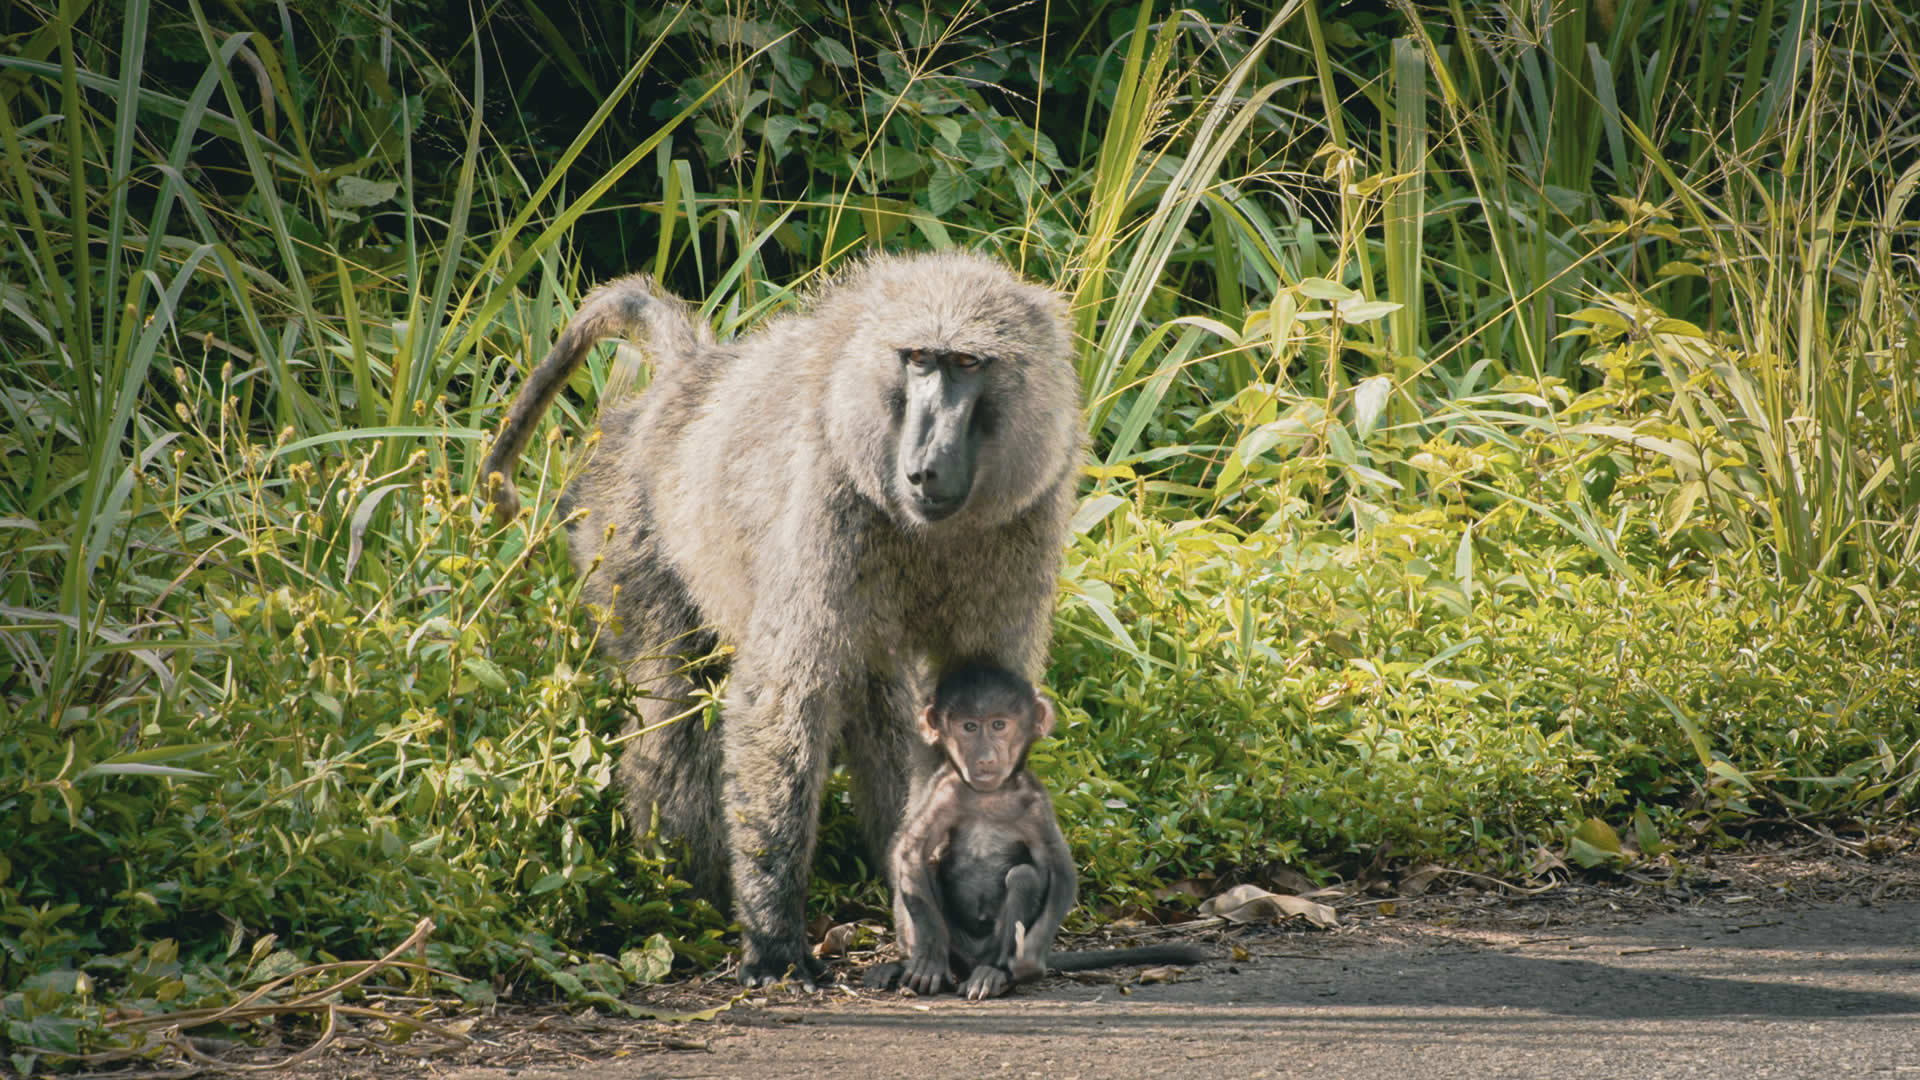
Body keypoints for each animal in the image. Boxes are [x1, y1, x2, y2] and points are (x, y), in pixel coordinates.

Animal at [477, 251, 1084, 989]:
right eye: (917, 359)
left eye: (967, 363)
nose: (924, 468)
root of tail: (686, 380)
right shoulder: (827, 502)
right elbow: (781, 695)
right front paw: (773, 942)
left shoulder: (1024, 517)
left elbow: (977, 698)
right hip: (624, 527)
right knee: (672, 707)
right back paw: (683, 895)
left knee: (880, 697)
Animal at [863, 664, 1208, 1000]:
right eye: (969, 727)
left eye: (999, 725)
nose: (985, 758)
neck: (989, 795)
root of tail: (974, 960)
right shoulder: (945, 793)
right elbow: (913, 853)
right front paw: (929, 961)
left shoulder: (1035, 804)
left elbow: (1059, 871)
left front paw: (1029, 961)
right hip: (958, 947)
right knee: (930, 867)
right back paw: (906, 966)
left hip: (995, 946)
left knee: (1023, 877)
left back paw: (996, 976)